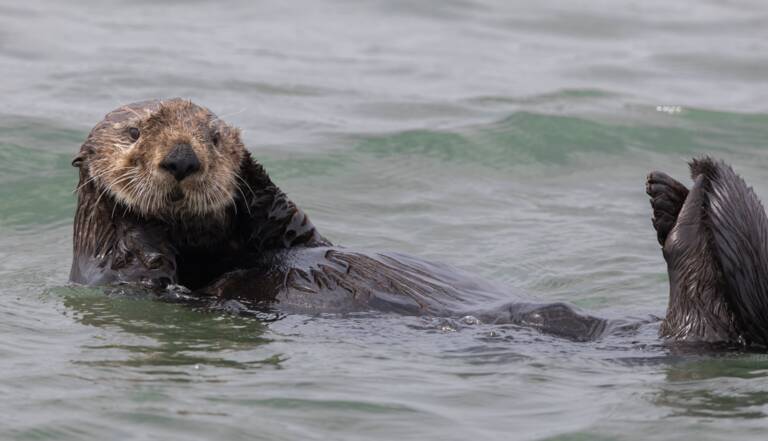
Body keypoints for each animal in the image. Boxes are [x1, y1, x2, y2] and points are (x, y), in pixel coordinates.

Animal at [67, 99, 768, 344]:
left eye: (212, 136)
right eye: (134, 132)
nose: (183, 159)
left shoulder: (287, 231)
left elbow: (290, 223)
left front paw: (251, 174)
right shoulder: (119, 278)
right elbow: (134, 271)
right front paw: (133, 219)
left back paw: (673, 193)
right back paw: (682, 207)